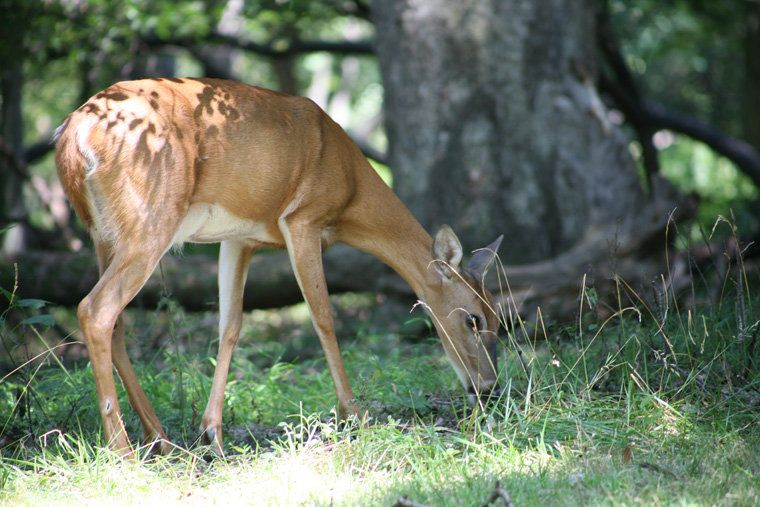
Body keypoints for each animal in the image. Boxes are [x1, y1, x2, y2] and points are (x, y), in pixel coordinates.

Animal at [53, 78, 504, 456]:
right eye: (473, 319)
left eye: (501, 321)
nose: (488, 387)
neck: (351, 190)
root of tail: (73, 136)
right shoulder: (303, 219)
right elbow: (323, 316)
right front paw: (354, 414)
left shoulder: (239, 237)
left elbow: (230, 326)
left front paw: (212, 433)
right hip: (151, 217)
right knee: (95, 309)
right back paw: (122, 450)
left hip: (105, 233)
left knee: (116, 323)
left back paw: (160, 437)